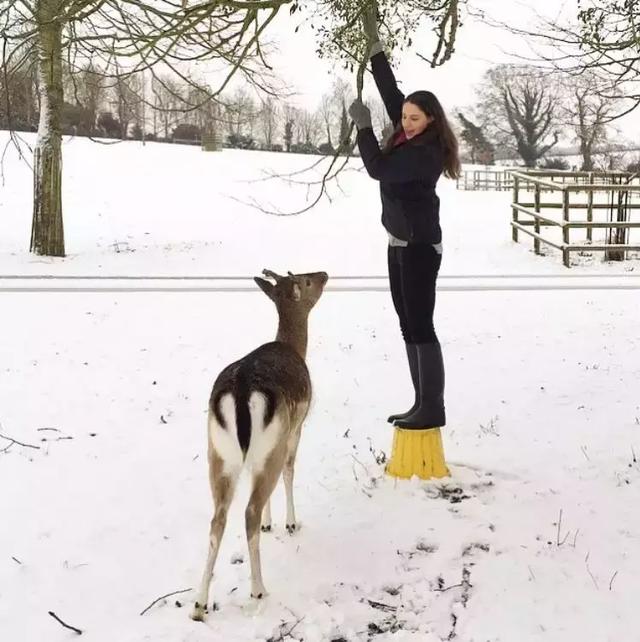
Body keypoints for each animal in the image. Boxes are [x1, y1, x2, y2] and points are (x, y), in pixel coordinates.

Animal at [190, 266, 330, 620]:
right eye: (306, 280)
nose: (325, 273)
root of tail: (240, 392)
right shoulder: (296, 427)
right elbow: (290, 472)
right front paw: (289, 523)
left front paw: (271, 523)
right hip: (269, 444)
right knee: (249, 509)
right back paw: (258, 589)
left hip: (219, 453)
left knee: (218, 517)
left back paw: (199, 601)